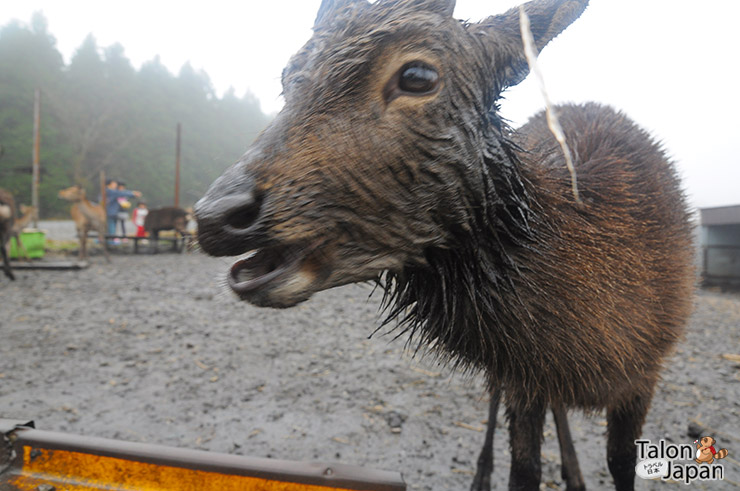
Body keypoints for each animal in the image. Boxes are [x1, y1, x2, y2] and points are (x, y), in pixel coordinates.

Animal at [192, 1, 692, 490]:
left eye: (417, 76)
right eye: (286, 77)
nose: (215, 215)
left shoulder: (646, 374)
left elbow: (621, 463)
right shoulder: (523, 380)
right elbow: (524, 469)